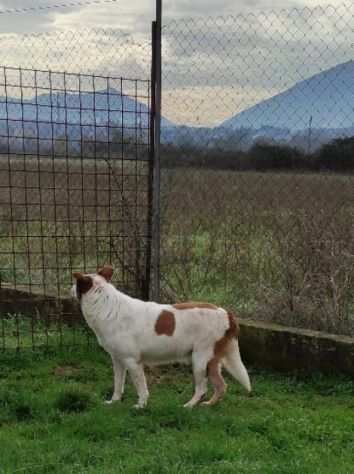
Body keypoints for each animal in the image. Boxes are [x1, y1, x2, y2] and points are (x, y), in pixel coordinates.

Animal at [70, 264, 250, 410]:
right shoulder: (118, 361)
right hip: (211, 362)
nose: (69, 288)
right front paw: (114, 402)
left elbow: (141, 388)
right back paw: (208, 405)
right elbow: (118, 385)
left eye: (76, 284)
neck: (105, 304)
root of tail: (227, 314)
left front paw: (141, 405)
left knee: (202, 389)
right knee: (221, 386)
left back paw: (189, 406)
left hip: (199, 360)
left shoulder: (132, 361)